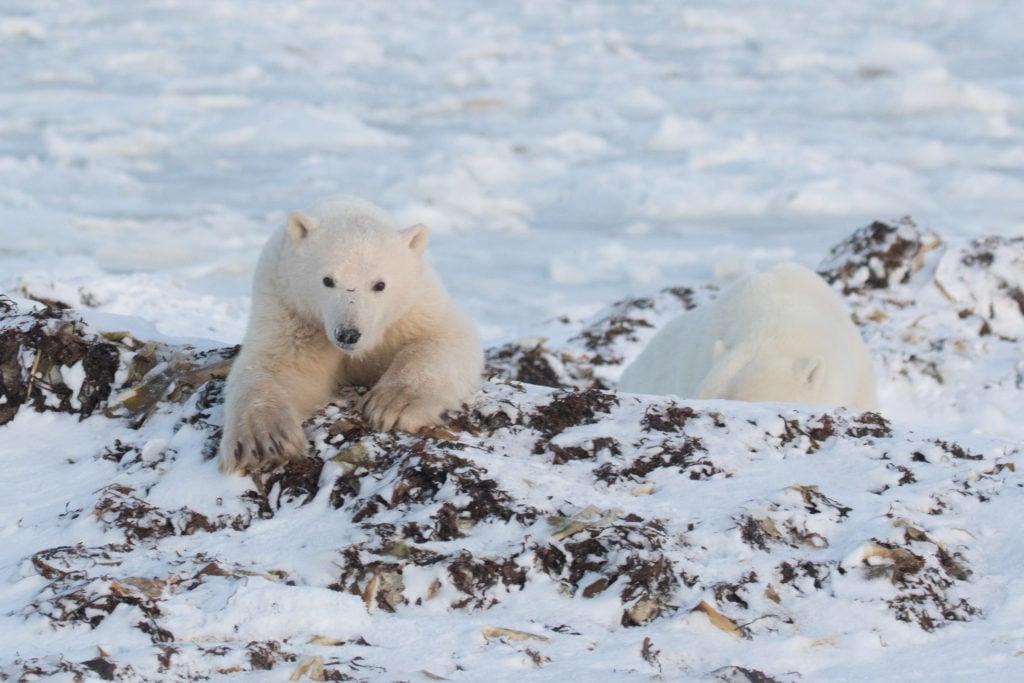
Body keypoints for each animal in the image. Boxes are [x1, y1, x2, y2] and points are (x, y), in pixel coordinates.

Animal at [218, 196, 481, 475]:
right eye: (328, 280)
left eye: (380, 285)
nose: (348, 334)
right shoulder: (292, 311)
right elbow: (274, 366)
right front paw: (263, 442)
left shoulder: (413, 308)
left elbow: (444, 339)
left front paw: (392, 404)